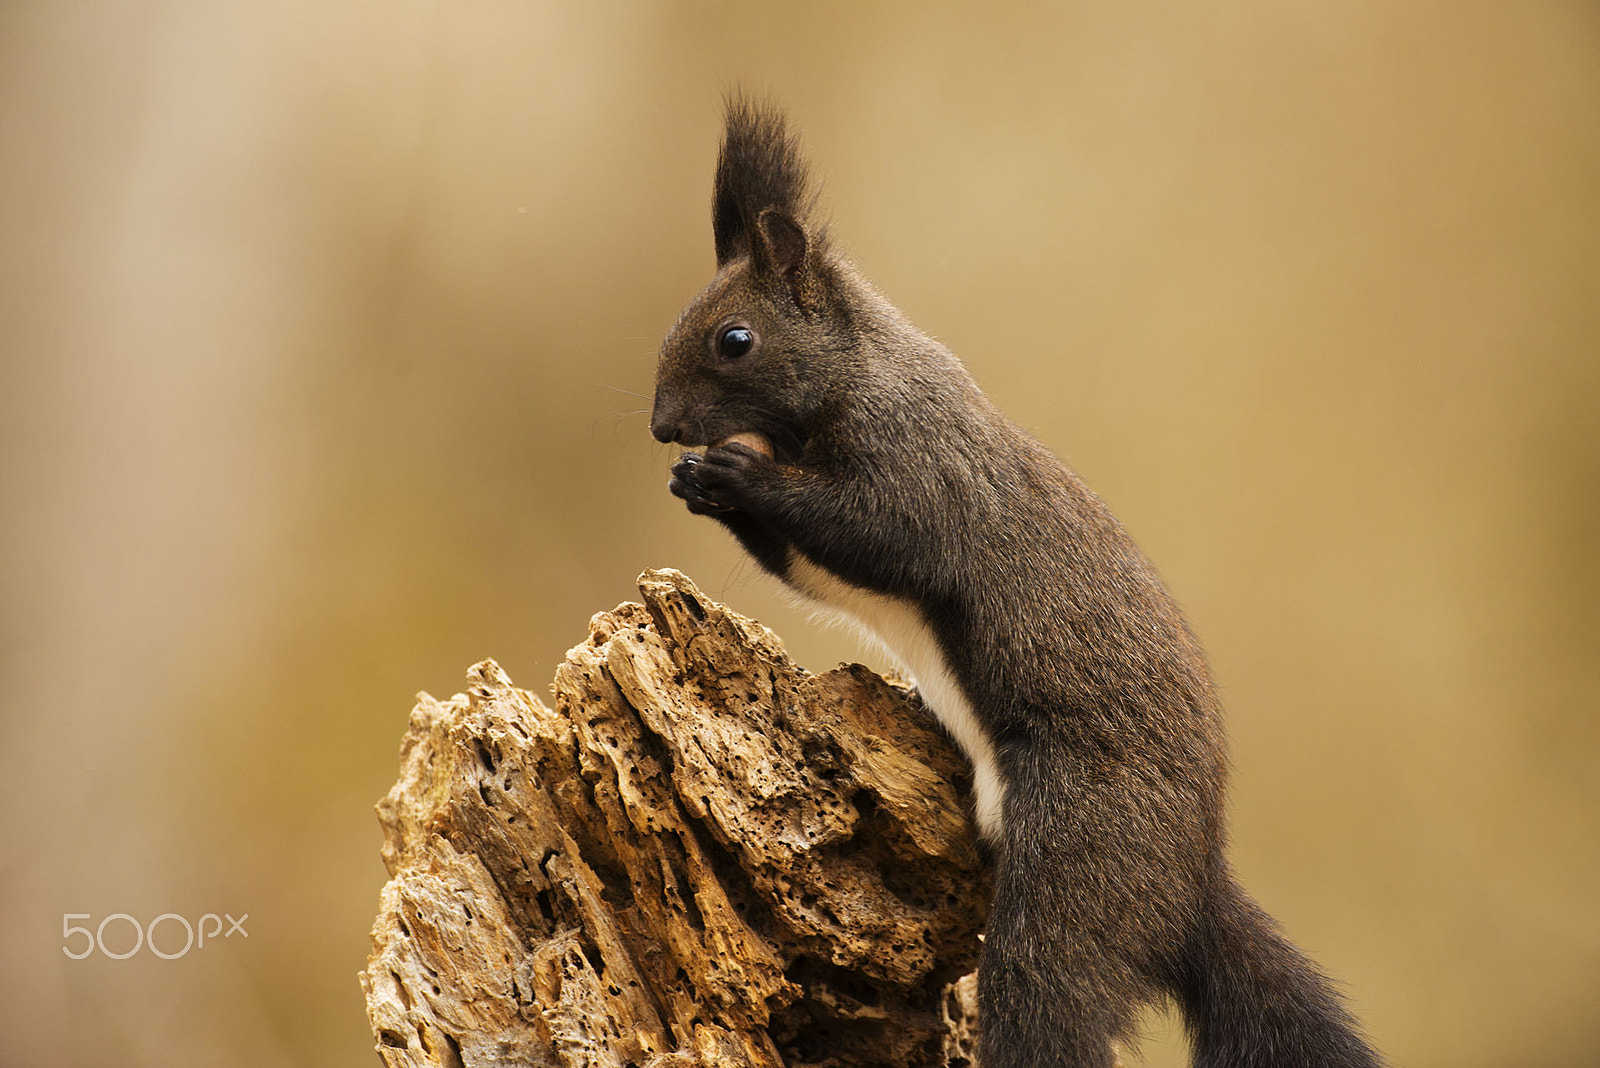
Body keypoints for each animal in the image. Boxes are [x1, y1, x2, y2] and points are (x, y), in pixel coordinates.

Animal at [643, 97, 1382, 1068]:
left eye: (736, 340)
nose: (661, 426)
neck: (857, 379)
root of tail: (1191, 886)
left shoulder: (924, 469)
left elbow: (879, 534)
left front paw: (737, 474)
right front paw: (698, 482)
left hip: (1077, 867)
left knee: (1049, 994)